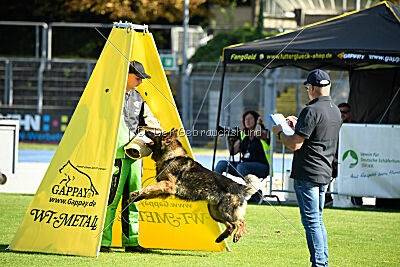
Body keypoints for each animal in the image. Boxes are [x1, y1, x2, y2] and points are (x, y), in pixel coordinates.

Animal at [128, 129, 262, 244]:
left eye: (157, 133)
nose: (145, 130)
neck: (172, 157)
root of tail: (240, 186)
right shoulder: (164, 190)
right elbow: (148, 192)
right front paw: (136, 196)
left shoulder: (167, 185)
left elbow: (149, 188)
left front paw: (137, 193)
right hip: (215, 212)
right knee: (231, 225)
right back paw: (221, 237)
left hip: (226, 212)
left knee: (241, 222)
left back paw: (238, 235)